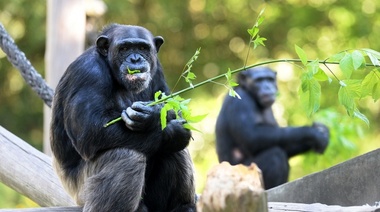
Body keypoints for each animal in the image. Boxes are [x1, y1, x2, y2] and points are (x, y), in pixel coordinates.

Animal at [49, 24, 196, 211]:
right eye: (124, 48)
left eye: (143, 48)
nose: (135, 59)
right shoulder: (87, 72)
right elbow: (91, 128)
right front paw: (158, 123)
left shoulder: (158, 70)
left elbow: (174, 105)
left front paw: (152, 115)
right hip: (81, 191)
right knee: (126, 156)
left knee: (175, 149)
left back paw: (183, 206)